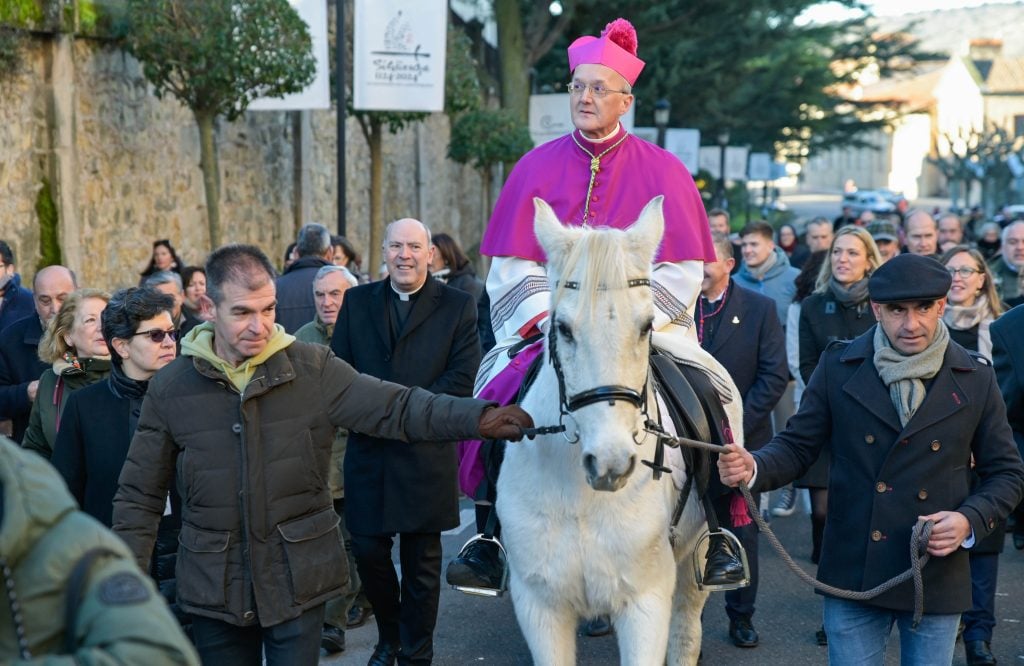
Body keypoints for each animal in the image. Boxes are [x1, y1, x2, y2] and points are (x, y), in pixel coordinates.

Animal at [495, 194, 745, 659]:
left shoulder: (645, 602)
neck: (580, 495)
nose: (610, 462)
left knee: (685, 634)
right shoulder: (540, 604)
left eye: (646, 326)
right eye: (562, 328)